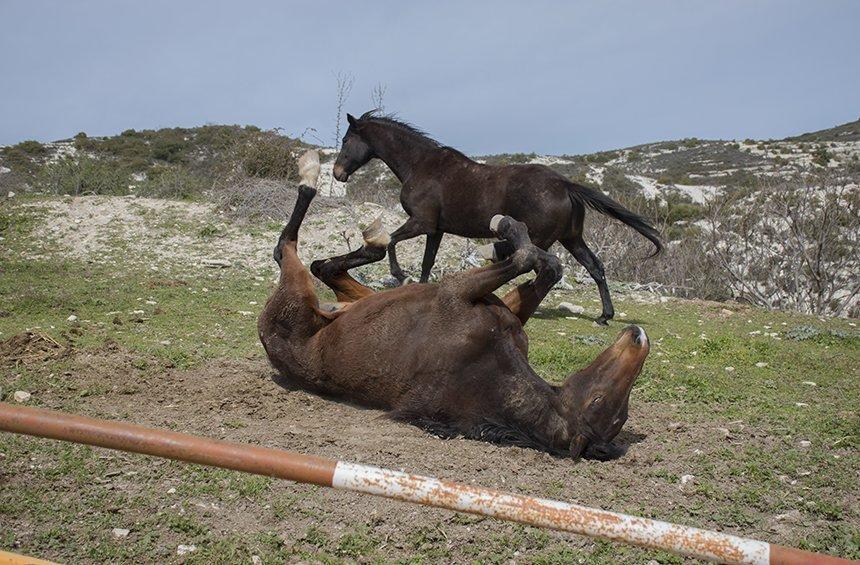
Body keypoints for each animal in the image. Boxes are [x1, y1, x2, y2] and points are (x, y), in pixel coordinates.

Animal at [332, 110, 660, 324]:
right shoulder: (435, 229)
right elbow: (427, 261)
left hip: (542, 238)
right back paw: (605, 316)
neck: (421, 165)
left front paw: (400, 276)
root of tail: (565, 185)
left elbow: (391, 241)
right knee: (595, 267)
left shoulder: (421, 223)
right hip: (572, 238)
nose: (337, 174)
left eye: (346, 140)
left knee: (537, 264)